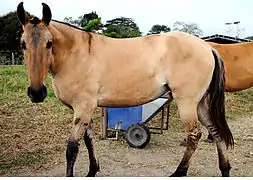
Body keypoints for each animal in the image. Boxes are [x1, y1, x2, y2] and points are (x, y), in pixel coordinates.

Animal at [16, 1, 234, 177]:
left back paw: (179, 173)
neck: (77, 53)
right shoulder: (84, 110)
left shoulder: (83, 108)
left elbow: (72, 149)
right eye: (23, 43)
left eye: (49, 43)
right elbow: (89, 140)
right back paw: (224, 169)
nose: (36, 92)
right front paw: (92, 171)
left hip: (187, 103)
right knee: (215, 131)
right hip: (201, 104)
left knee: (194, 135)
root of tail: (208, 47)